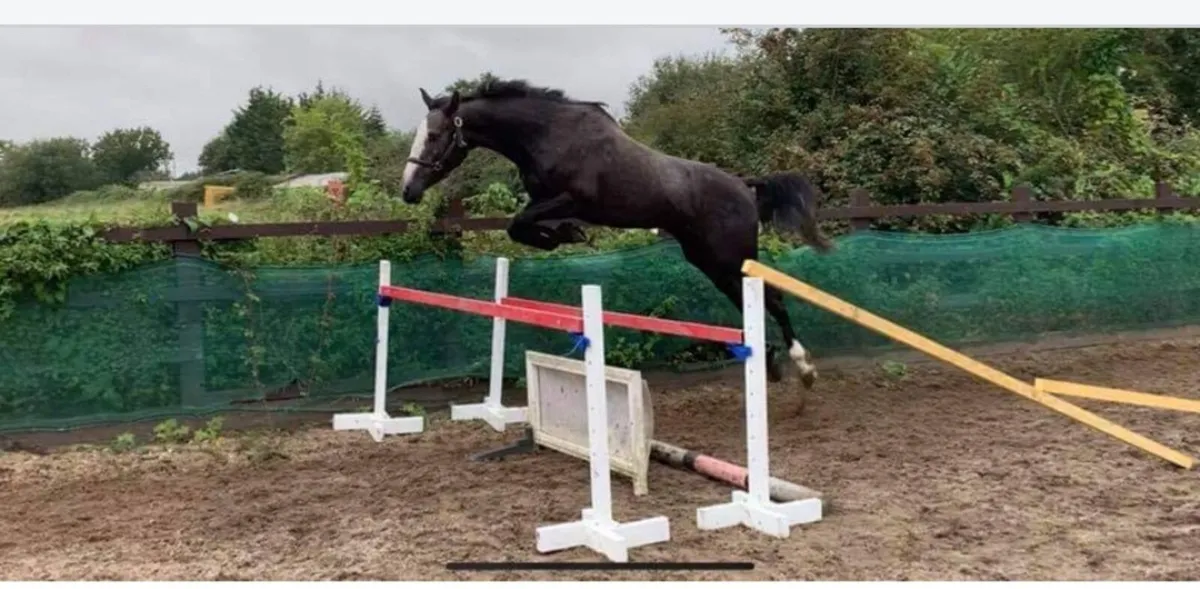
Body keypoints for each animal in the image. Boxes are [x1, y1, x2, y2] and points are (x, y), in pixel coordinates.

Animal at [399, 78, 834, 388]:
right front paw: (563, 236)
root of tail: (745, 186)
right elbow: (521, 227)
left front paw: (567, 235)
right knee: (751, 302)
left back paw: (803, 366)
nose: (408, 191)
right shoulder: (545, 202)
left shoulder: (571, 199)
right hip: (709, 260)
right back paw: (770, 361)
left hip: (731, 256)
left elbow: (519, 224)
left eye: (434, 136)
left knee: (773, 299)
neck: (546, 134)